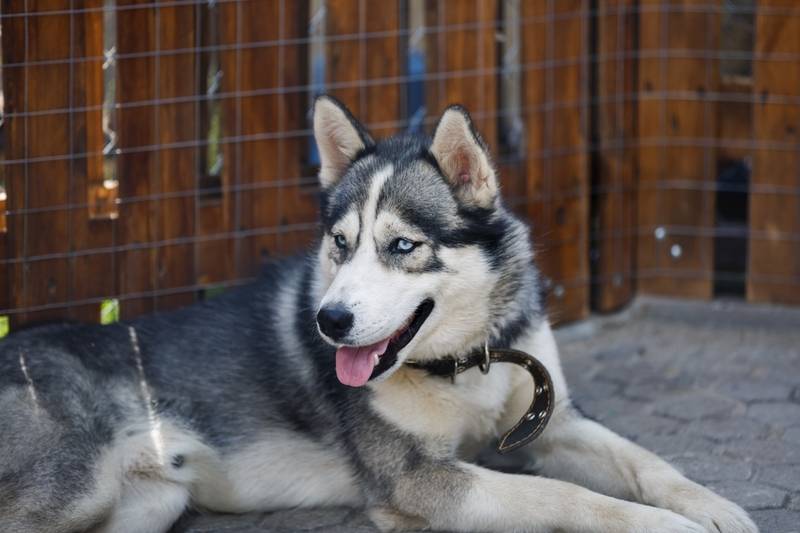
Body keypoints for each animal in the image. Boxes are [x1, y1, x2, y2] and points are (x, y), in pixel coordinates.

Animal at [0, 96, 760, 532]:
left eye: (402, 246)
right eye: (341, 244)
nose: (329, 322)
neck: (467, 362)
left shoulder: (555, 423)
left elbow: (646, 461)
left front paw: (710, 505)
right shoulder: (420, 481)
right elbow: (565, 499)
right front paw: (660, 526)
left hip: (145, 505)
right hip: (77, 490)